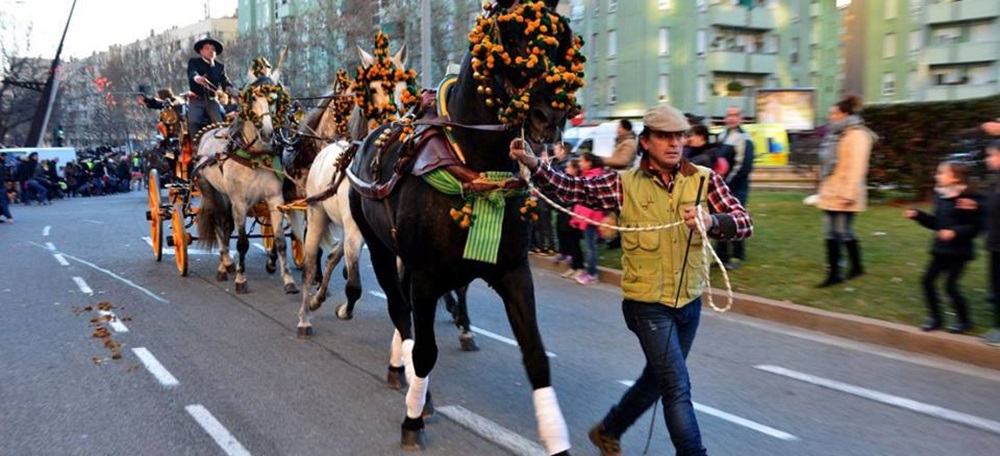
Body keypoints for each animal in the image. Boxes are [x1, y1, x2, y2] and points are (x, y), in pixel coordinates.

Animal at [194, 76, 296, 294]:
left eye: (274, 98)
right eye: (253, 98)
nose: (267, 132)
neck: (255, 156)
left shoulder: (275, 200)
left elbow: (280, 241)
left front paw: (289, 280)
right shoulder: (239, 203)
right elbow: (242, 243)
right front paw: (241, 279)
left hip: (225, 197)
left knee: (225, 227)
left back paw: (226, 264)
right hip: (210, 191)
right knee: (218, 224)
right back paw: (225, 264)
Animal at [348, 1, 580, 454]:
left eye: (559, 40)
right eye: (512, 37)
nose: (549, 116)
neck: (472, 164)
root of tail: (366, 139)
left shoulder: (513, 271)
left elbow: (536, 356)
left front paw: (555, 436)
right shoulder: (426, 275)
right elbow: (424, 351)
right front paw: (413, 418)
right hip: (380, 248)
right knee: (399, 310)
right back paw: (413, 386)